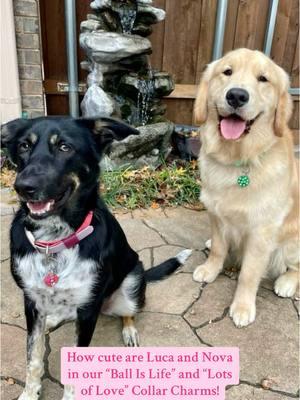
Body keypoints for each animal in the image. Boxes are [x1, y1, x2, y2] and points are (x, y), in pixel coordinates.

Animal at [0, 116, 192, 400]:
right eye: (24, 146)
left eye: (65, 147)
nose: (23, 187)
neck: (56, 240)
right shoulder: (31, 302)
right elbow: (33, 357)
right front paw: (30, 393)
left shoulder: (88, 309)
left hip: (132, 283)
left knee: (129, 311)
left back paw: (129, 330)